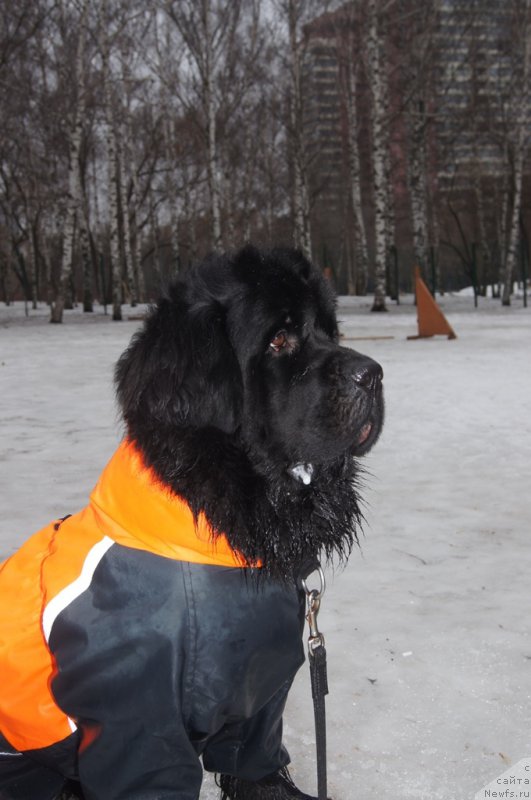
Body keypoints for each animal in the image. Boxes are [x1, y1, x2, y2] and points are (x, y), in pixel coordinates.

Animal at [0, 245, 384, 800]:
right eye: (279, 338)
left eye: (330, 332)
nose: (373, 373)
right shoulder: (139, 724)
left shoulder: (259, 695)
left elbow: (257, 765)